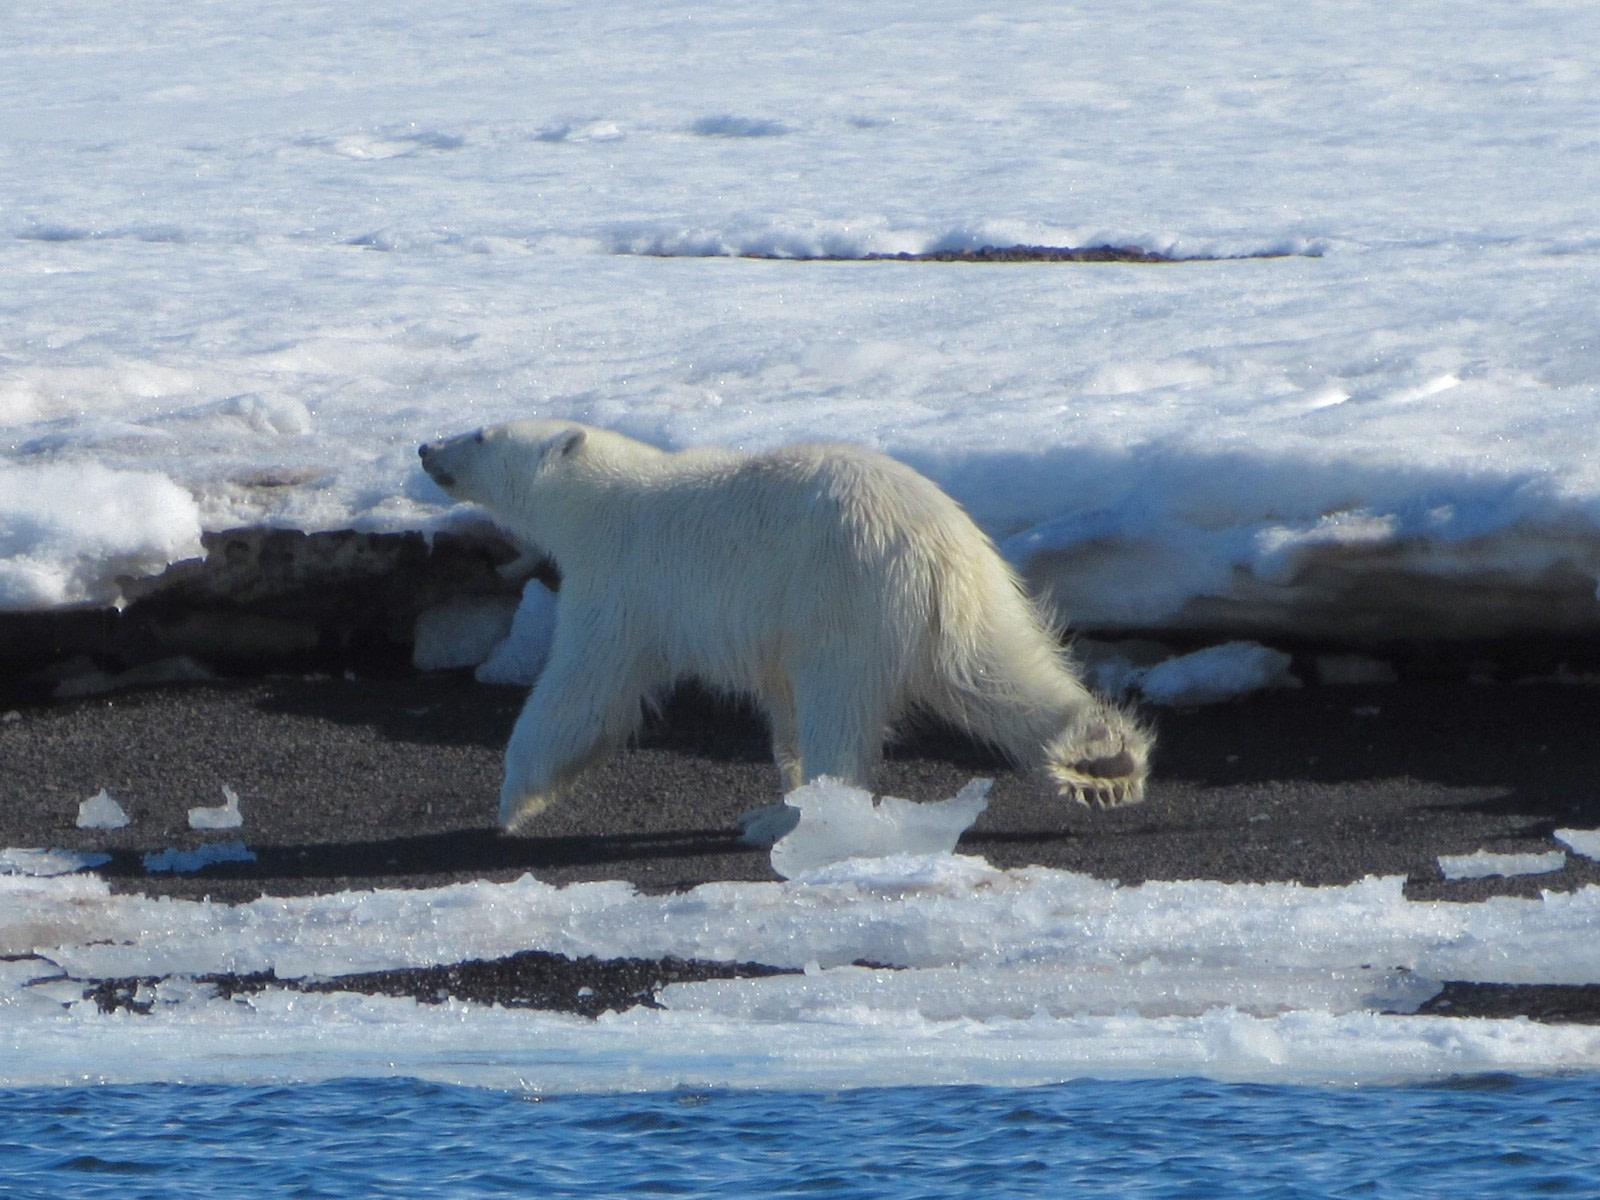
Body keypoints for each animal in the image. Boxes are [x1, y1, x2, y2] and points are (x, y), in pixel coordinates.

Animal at [419, 422, 1152, 838]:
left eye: (482, 434)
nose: (426, 446)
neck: (606, 500)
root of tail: (935, 546)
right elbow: (782, 708)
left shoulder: (624, 582)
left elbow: (583, 691)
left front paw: (513, 802)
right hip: (969, 600)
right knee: (996, 675)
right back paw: (1102, 759)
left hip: (846, 596)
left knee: (840, 706)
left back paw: (807, 817)